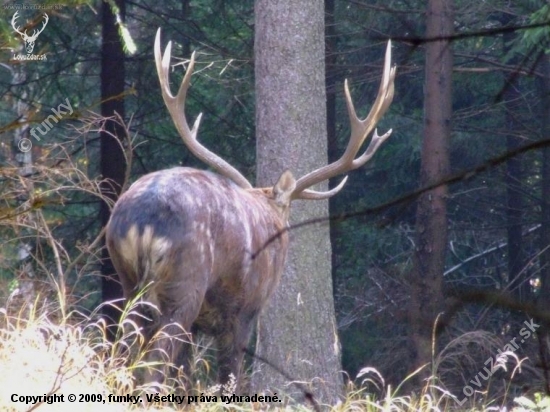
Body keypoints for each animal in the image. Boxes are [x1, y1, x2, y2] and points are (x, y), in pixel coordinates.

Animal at [104, 28, 396, 390]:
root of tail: (144, 218)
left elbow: (186, 379)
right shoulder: (245, 309)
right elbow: (229, 379)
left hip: (127, 279)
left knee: (121, 350)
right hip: (185, 284)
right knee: (156, 360)